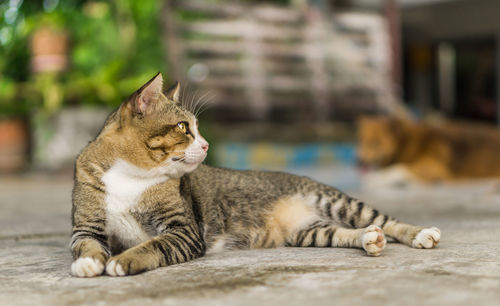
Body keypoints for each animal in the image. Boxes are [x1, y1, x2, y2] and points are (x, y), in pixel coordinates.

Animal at [71, 74, 442, 278]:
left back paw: (421, 234)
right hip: (307, 232)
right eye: (183, 127)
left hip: (335, 200)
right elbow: (86, 244)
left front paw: (124, 260)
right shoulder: (86, 225)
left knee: (385, 219)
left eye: (194, 127)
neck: (130, 176)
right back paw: (368, 239)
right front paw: (88, 263)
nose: (206, 144)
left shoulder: (184, 230)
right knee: (341, 232)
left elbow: (154, 244)